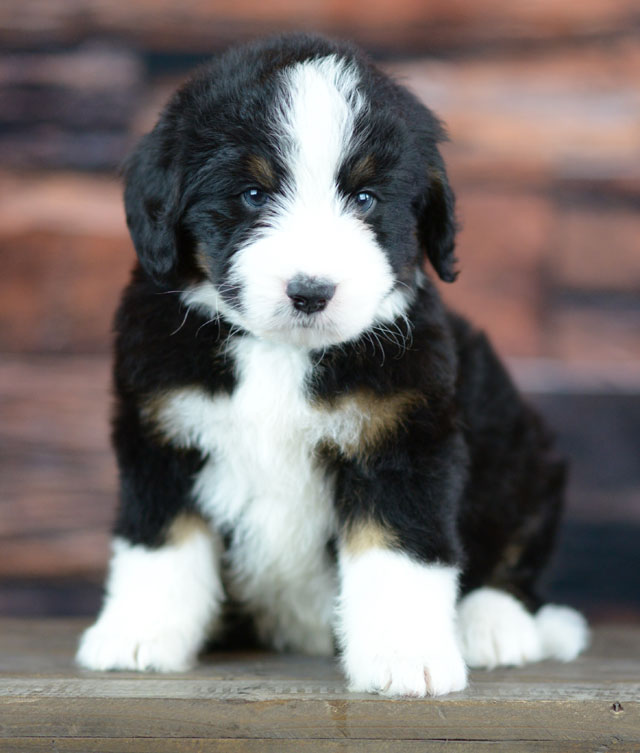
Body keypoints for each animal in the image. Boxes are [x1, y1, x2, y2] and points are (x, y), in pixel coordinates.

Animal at [76, 33, 592, 692]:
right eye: (253, 194)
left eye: (366, 198)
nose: (311, 291)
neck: (279, 351)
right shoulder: (162, 432)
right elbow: (158, 541)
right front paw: (138, 635)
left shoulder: (402, 437)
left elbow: (402, 553)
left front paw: (406, 659)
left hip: (519, 448)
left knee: (515, 557)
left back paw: (496, 626)